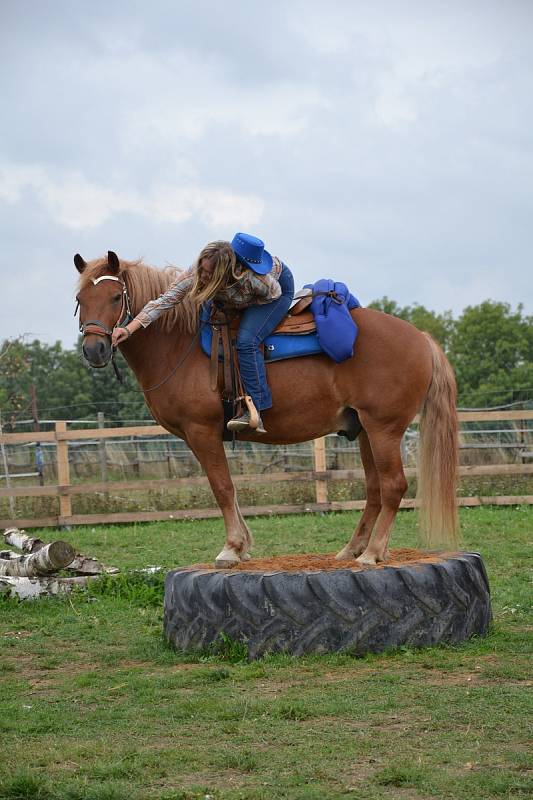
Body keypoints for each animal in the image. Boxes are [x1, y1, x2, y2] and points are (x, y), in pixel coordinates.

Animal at [74, 250, 458, 568]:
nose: (95, 350)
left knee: (393, 486)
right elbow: (227, 487)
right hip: (365, 430)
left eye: (115, 297)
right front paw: (242, 546)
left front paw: (231, 548)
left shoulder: (201, 431)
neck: (178, 343)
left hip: (384, 428)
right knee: (375, 489)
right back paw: (355, 550)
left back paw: (372, 554)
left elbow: (222, 487)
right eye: (80, 299)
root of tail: (421, 337)